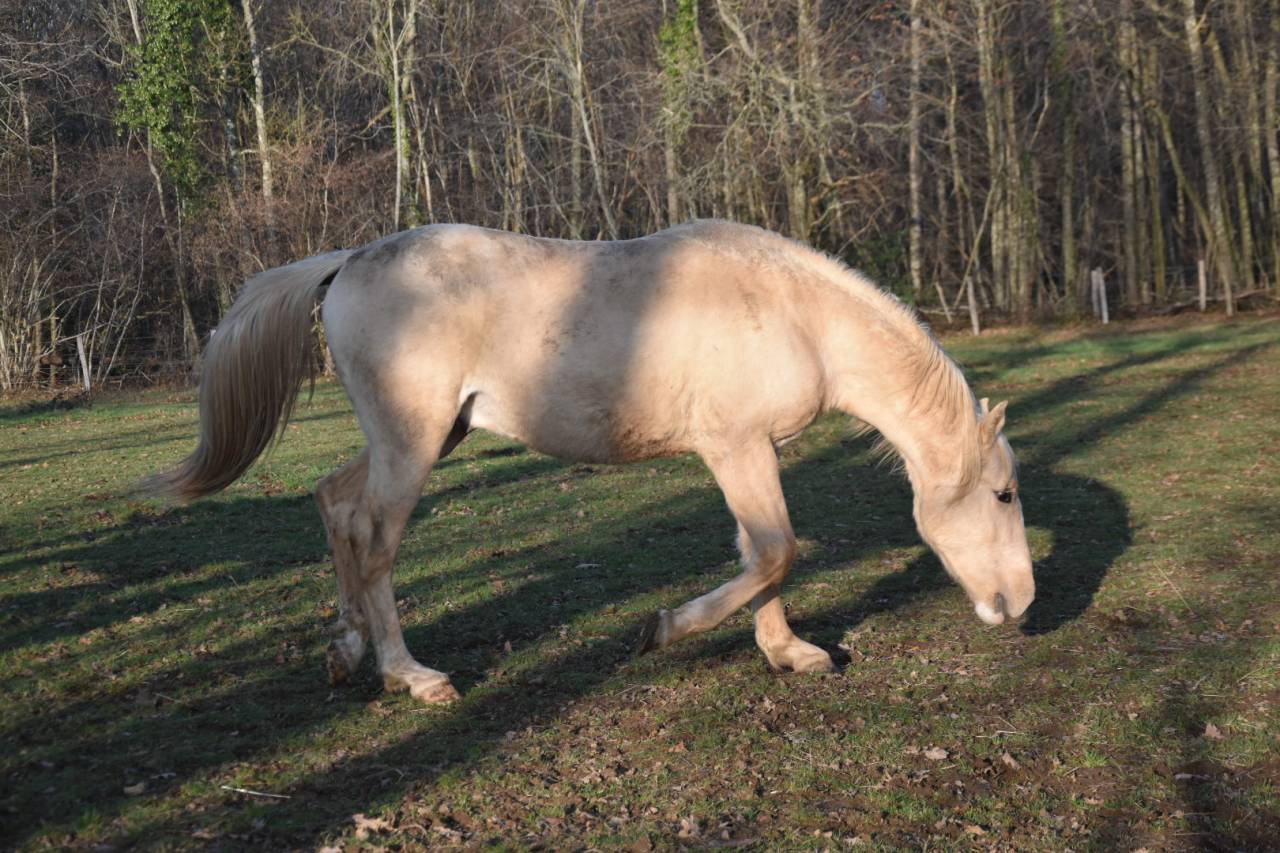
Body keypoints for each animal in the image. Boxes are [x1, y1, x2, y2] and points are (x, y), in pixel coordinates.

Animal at [150, 220, 1034, 705]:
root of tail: (348, 261)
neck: (794, 314)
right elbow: (776, 551)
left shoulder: (750, 453)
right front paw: (664, 628)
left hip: (428, 437)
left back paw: (346, 650)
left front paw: (788, 651)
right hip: (412, 444)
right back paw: (411, 673)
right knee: (374, 541)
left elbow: (760, 554)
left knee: (334, 503)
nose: (1019, 605)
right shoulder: (737, 447)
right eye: (1002, 493)